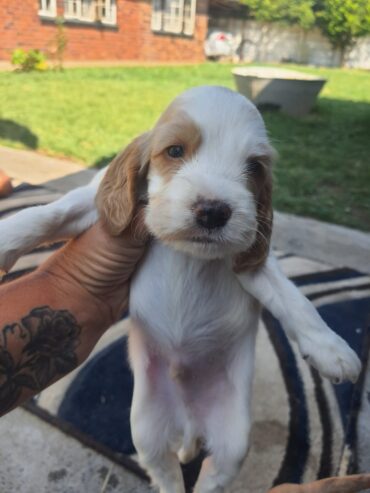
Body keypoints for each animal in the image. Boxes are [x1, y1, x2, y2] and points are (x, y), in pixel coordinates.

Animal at [0, 86, 362, 490]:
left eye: (254, 168)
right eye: (175, 150)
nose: (214, 211)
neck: (190, 253)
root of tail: (189, 423)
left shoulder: (250, 254)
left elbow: (291, 296)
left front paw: (330, 349)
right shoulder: (95, 206)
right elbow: (48, 213)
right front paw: (5, 238)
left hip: (233, 440)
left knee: (209, 477)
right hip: (145, 430)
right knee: (167, 475)